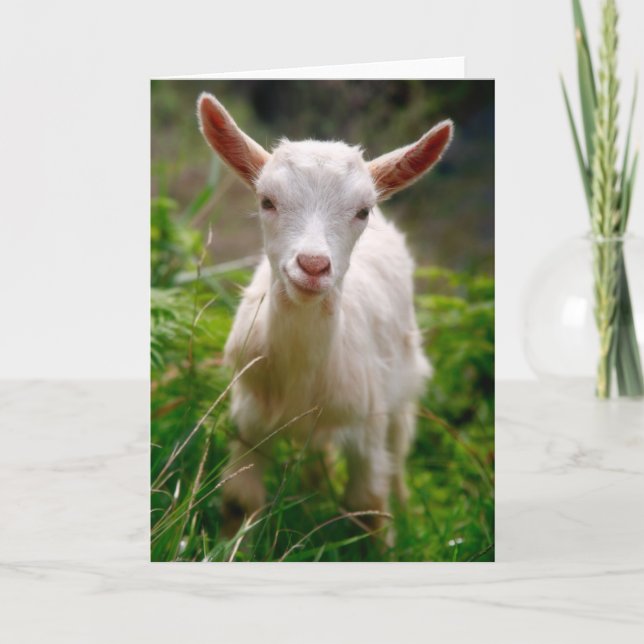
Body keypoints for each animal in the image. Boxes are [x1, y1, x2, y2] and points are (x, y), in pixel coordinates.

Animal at [197, 93, 453, 540]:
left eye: (363, 211)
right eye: (266, 201)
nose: (313, 265)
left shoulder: (368, 423)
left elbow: (368, 507)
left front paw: (386, 544)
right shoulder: (248, 418)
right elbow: (239, 500)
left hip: (404, 381)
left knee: (399, 450)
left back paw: (407, 510)